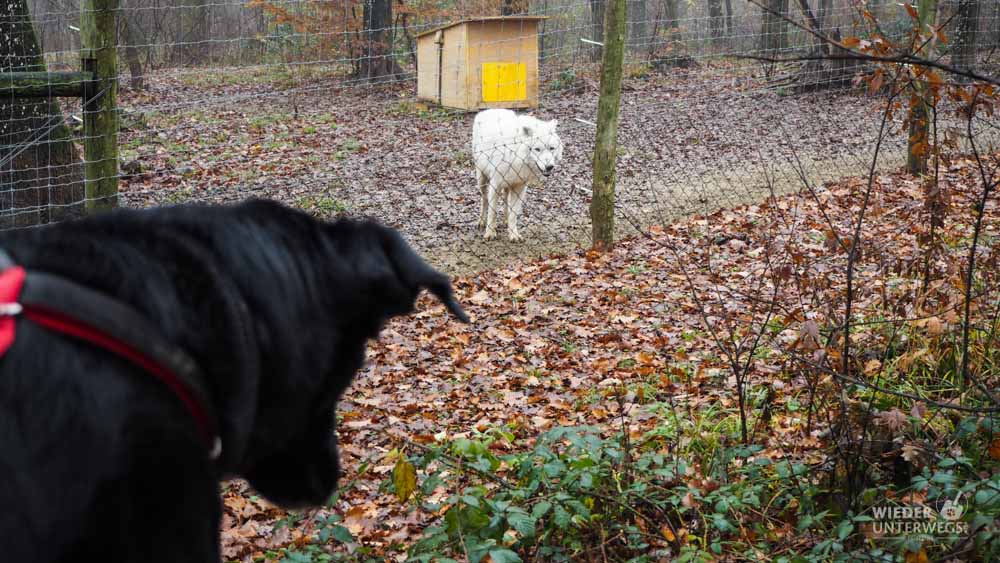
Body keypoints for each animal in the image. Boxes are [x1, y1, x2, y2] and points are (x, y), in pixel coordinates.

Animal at [470, 109, 564, 241]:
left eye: (552, 148)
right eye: (537, 149)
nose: (549, 167)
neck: (515, 152)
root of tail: (489, 110)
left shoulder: (520, 187)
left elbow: (514, 213)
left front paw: (514, 234)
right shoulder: (495, 185)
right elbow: (492, 212)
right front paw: (490, 233)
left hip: (508, 184)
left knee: (505, 199)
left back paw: (505, 220)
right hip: (482, 179)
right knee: (484, 199)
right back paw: (482, 222)